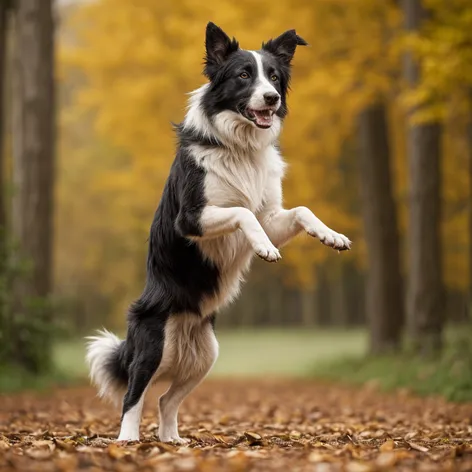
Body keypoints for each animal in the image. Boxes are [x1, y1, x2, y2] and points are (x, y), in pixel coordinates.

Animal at [85, 21, 350, 442]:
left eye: (274, 76)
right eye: (243, 75)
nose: (272, 98)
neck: (240, 146)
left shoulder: (272, 216)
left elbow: (300, 211)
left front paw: (331, 236)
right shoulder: (191, 218)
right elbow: (242, 212)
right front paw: (264, 250)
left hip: (206, 355)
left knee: (166, 400)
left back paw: (172, 441)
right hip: (152, 347)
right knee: (133, 395)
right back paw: (128, 441)